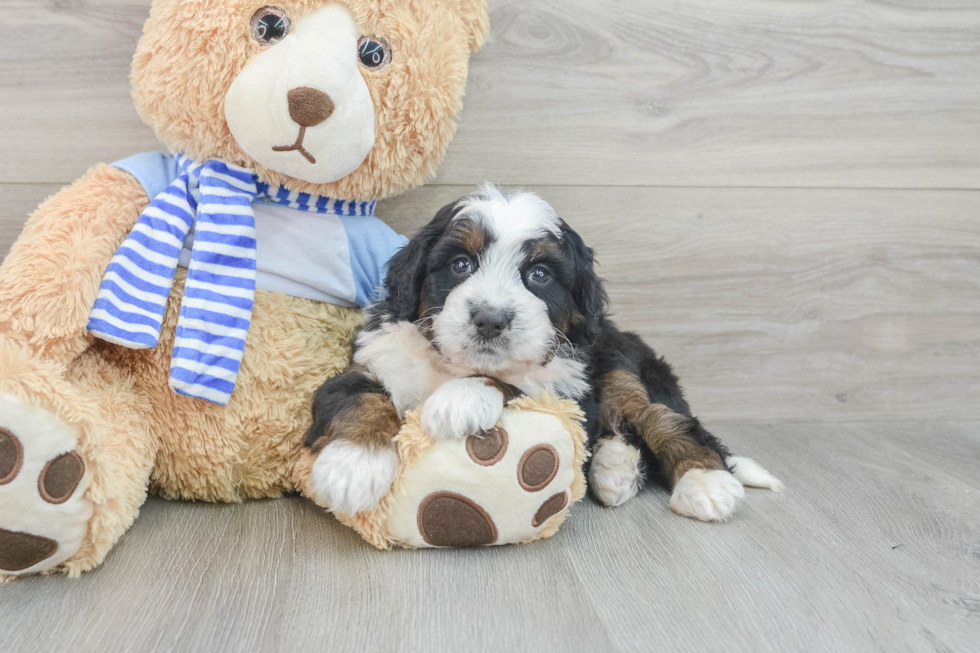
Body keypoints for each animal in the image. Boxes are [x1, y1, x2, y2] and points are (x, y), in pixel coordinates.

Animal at [304, 186, 780, 516]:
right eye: (460, 264)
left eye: (539, 274)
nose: (490, 319)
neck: (451, 365)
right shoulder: (378, 358)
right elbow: (356, 396)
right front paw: (352, 466)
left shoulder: (569, 390)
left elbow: (518, 381)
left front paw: (459, 400)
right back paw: (615, 469)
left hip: (624, 364)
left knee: (667, 421)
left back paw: (704, 484)